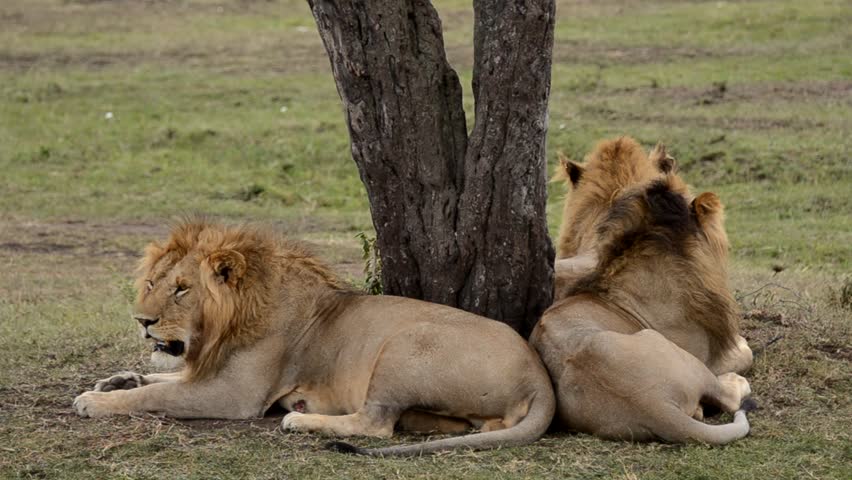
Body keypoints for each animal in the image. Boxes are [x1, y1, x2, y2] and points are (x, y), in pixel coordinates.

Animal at [71, 219, 552, 456]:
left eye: (182, 289)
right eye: (153, 282)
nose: (142, 320)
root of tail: (539, 376)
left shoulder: (235, 395)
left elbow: (157, 395)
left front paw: (95, 401)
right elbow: (159, 379)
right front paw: (114, 381)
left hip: (405, 343)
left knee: (376, 424)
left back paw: (300, 420)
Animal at [528, 137, 756, 444]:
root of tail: (653, 404)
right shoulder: (709, 352)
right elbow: (745, 352)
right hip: (673, 349)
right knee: (729, 396)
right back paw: (735, 383)